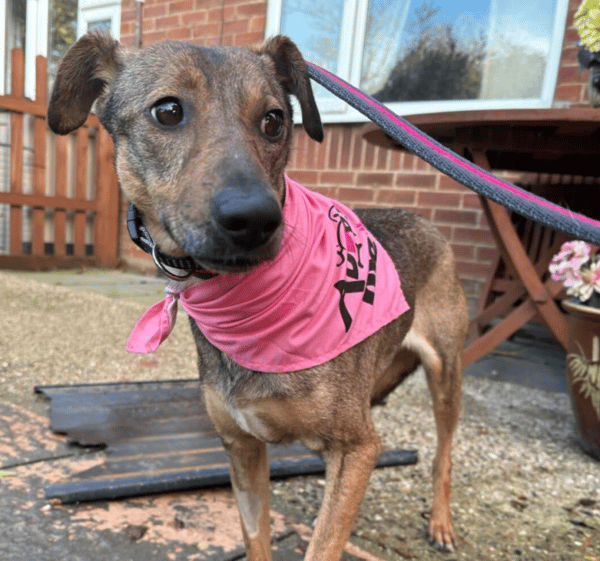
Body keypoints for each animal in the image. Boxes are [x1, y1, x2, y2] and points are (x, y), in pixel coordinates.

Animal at [48, 32, 468, 561]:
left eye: (274, 120)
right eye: (167, 111)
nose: (255, 219)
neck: (243, 307)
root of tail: (427, 223)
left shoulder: (357, 449)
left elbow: (324, 543)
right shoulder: (242, 446)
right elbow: (257, 536)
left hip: (446, 373)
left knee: (443, 454)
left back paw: (442, 522)